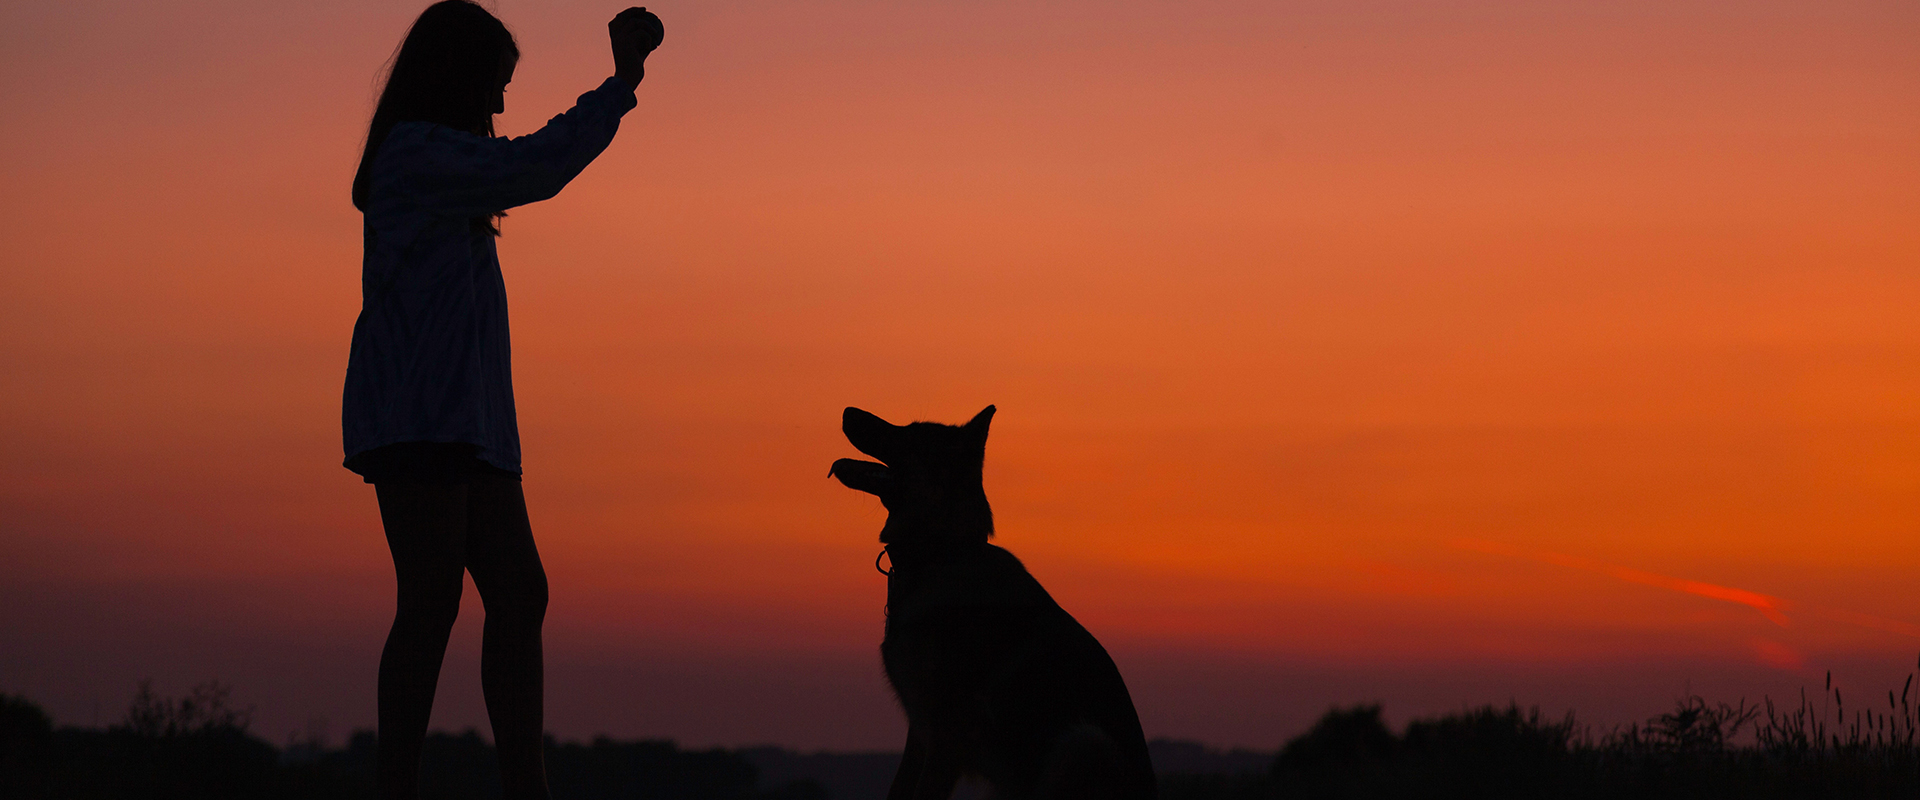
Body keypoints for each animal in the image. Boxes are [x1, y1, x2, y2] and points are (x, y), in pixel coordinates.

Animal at [829, 404, 1152, 798]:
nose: (847, 410)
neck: (942, 553)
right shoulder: (920, 732)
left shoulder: (946, 739)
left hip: (1083, 742)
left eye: (911, 433)